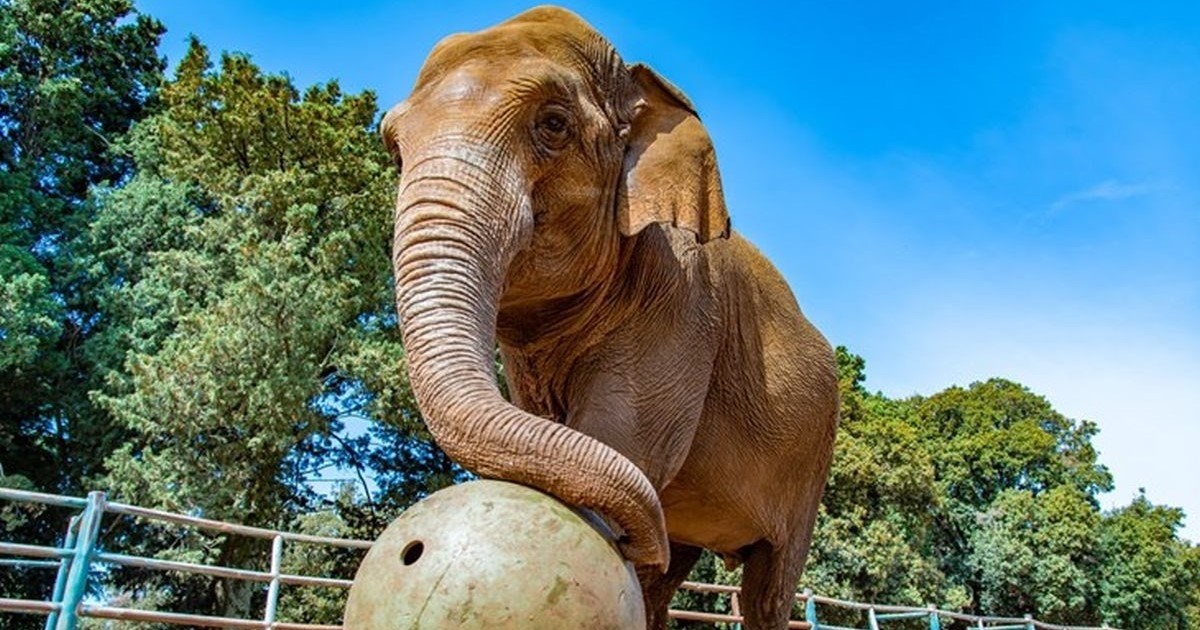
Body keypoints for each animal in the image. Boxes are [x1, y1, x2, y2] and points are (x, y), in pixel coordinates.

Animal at [379, 6, 840, 628]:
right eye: (393, 148)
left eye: (553, 124)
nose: (636, 539)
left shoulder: (681, 299)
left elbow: (623, 439)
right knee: (663, 576)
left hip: (811, 460)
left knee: (767, 588)